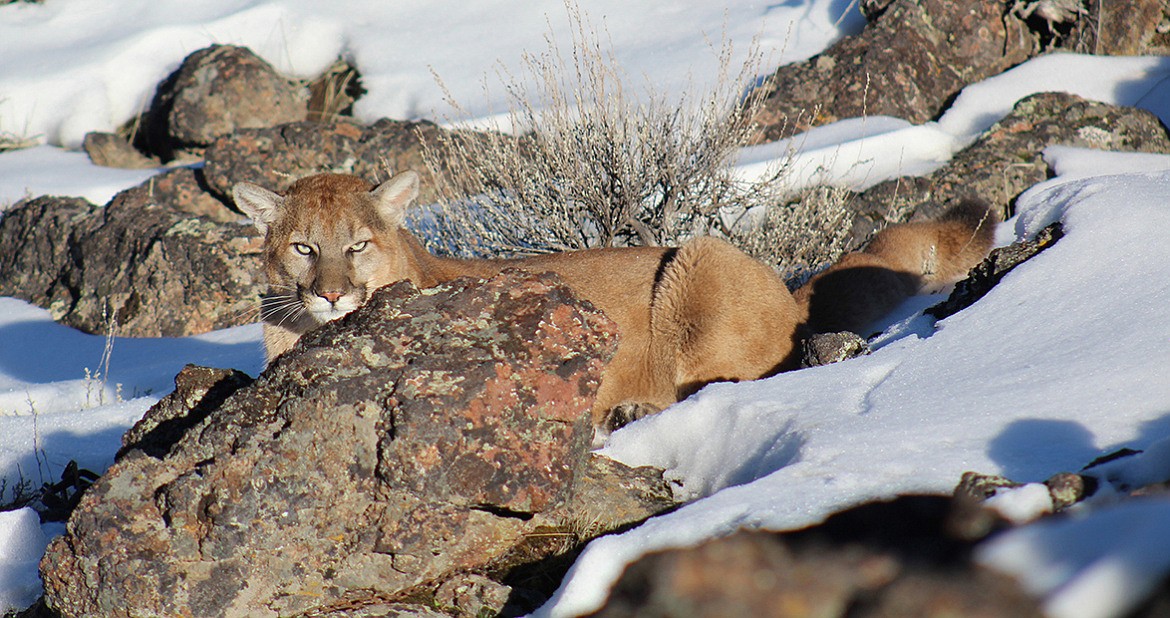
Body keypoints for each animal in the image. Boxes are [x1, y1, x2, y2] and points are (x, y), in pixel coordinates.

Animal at [235, 170, 996, 428]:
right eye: (303, 248)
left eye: (358, 245)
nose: (332, 294)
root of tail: (788, 286)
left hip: (698, 260)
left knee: (730, 382)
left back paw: (627, 411)